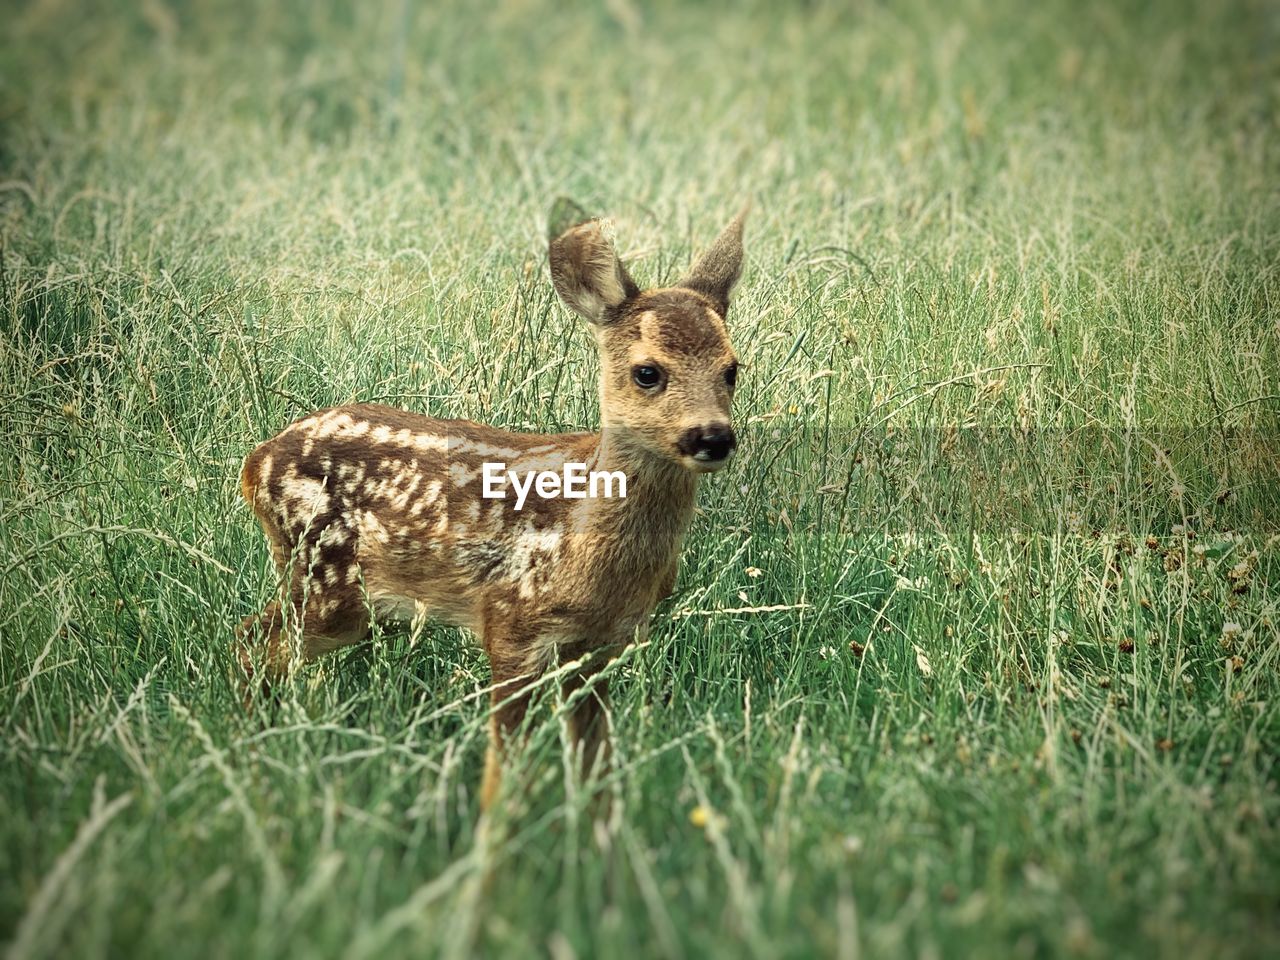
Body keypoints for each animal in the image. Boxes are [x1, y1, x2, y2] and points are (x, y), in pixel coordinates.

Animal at [235, 207, 747, 808]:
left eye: (732, 369)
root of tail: (253, 463)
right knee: (252, 644)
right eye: (649, 372)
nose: (712, 436)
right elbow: (505, 771)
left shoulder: (600, 645)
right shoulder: (509, 621)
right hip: (325, 579)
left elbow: (595, 769)